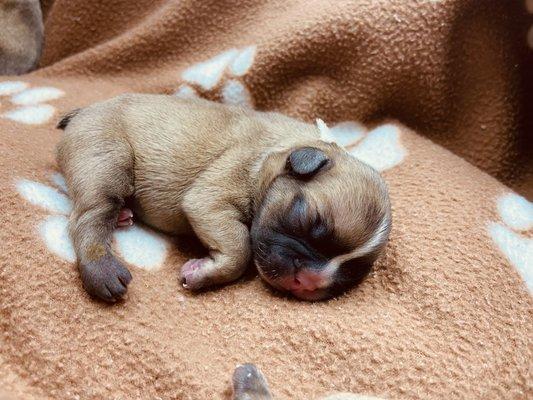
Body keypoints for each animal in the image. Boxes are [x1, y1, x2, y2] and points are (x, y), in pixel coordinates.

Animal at [56, 94, 390, 302]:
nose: (308, 282)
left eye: (351, 273)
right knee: (88, 217)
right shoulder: (213, 195)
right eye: (307, 220)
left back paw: (124, 214)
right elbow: (240, 247)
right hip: (104, 154)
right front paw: (205, 272)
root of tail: (84, 111)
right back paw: (103, 270)